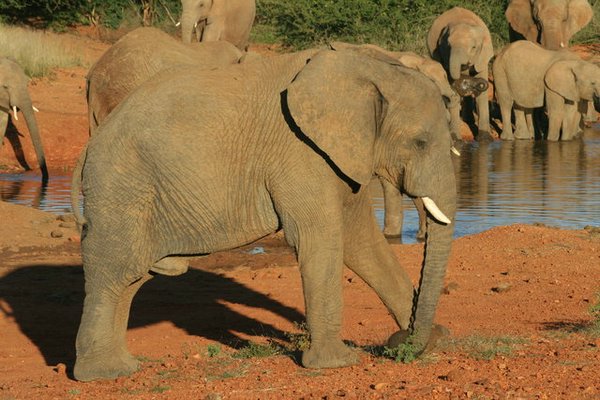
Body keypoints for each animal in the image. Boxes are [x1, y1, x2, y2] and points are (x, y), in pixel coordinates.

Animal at [70, 47, 454, 382]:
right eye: (420, 142)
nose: (398, 343)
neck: (370, 69)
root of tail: (90, 144)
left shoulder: (345, 155)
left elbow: (362, 241)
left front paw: (432, 340)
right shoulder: (300, 152)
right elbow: (320, 240)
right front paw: (337, 363)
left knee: (135, 277)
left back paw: (122, 367)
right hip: (121, 185)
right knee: (117, 270)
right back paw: (103, 374)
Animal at [428, 6, 494, 142]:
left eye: (474, 47)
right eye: (448, 46)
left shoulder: (482, 57)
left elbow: (482, 95)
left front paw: (485, 139)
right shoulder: (444, 56)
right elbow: (452, 87)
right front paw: (456, 139)